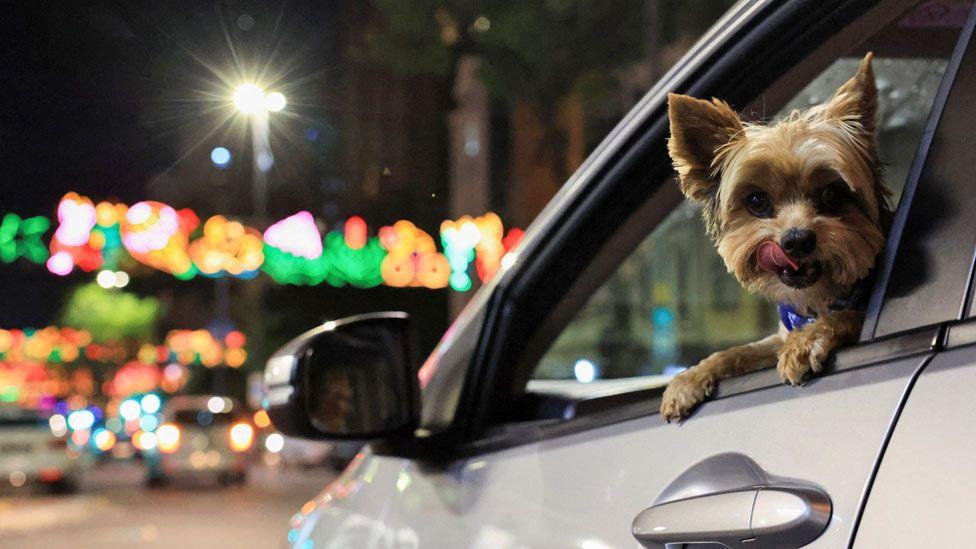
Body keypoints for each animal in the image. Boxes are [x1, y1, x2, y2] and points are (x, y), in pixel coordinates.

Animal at [656, 53, 892, 422]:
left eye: (832, 195)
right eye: (757, 201)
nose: (796, 241)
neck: (815, 303)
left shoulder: (848, 312)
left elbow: (847, 316)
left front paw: (806, 342)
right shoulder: (775, 337)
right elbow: (739, 351)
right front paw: (690, 378)